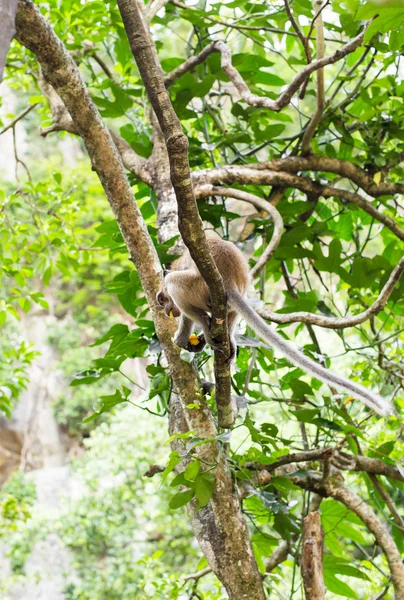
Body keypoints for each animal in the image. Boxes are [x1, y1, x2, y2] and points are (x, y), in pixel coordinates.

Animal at [156, 231, 392, 418]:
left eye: (160, 299)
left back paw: (205, 325)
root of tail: (228, 281)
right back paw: (226, 340)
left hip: (198, 285)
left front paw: (181, 338)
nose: (166, 309)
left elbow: (180, 302)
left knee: (175, 282)